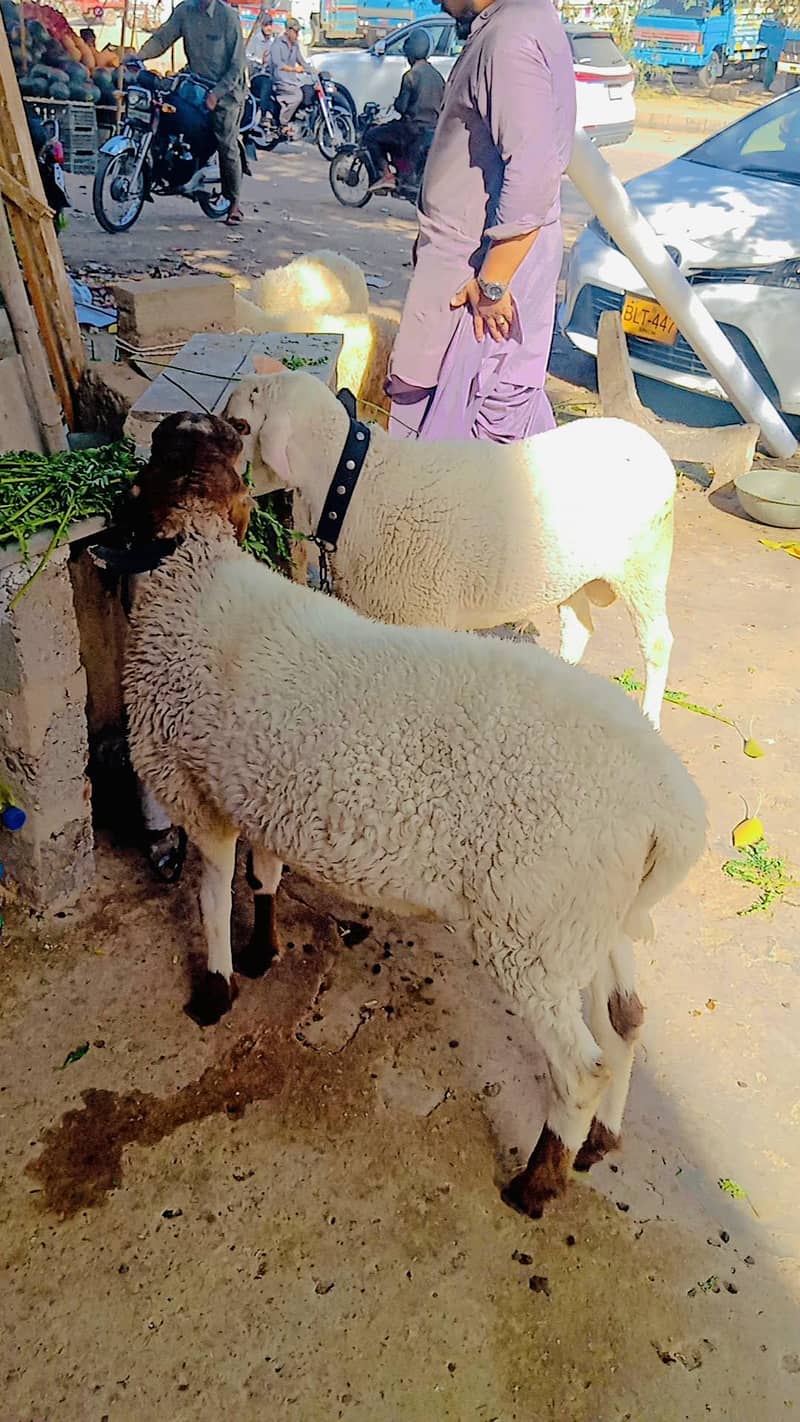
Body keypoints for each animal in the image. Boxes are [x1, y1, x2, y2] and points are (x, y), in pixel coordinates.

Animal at [123, 410, 706, 1219]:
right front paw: (264, 950)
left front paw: (214, 991)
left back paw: (538, 1183)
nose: (207, 418)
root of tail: (669, 806)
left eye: (181, 443)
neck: (193, 573)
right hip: (588, 915)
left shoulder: (196, 791)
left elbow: (210, 898)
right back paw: (599, 1143)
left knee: (578, 1067)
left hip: (532, 922)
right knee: (625, 1020)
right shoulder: (259, 782)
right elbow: (263, 874)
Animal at [228, 372, 677, 728]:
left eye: (241, 425)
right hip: (570, 573)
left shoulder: (420, 616)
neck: (353, 482)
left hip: (645, 565)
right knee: (579, 629)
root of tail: (646, 441)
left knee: (657, 643)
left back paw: (651, 717)